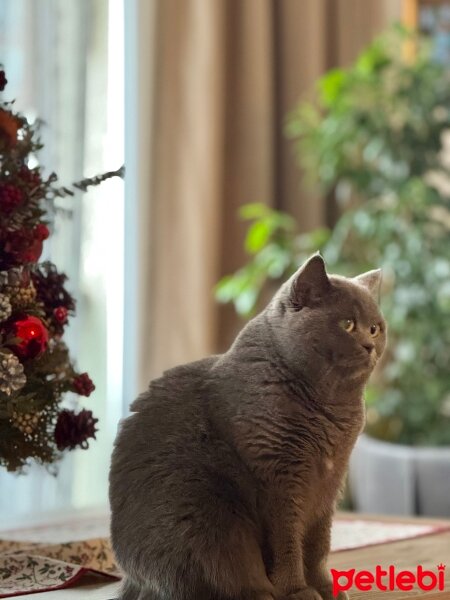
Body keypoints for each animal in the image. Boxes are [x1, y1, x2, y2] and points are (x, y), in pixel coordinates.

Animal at [109, 255, 386, 600]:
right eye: (347, 324)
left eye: (375, 329)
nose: (369, 345)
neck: (330, 410)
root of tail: (131, 581)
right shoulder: (280, 479)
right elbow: (287, 543)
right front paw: (298, 591)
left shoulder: (330, 483)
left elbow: (318, 545)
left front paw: (327, 589)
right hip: (213, 523)